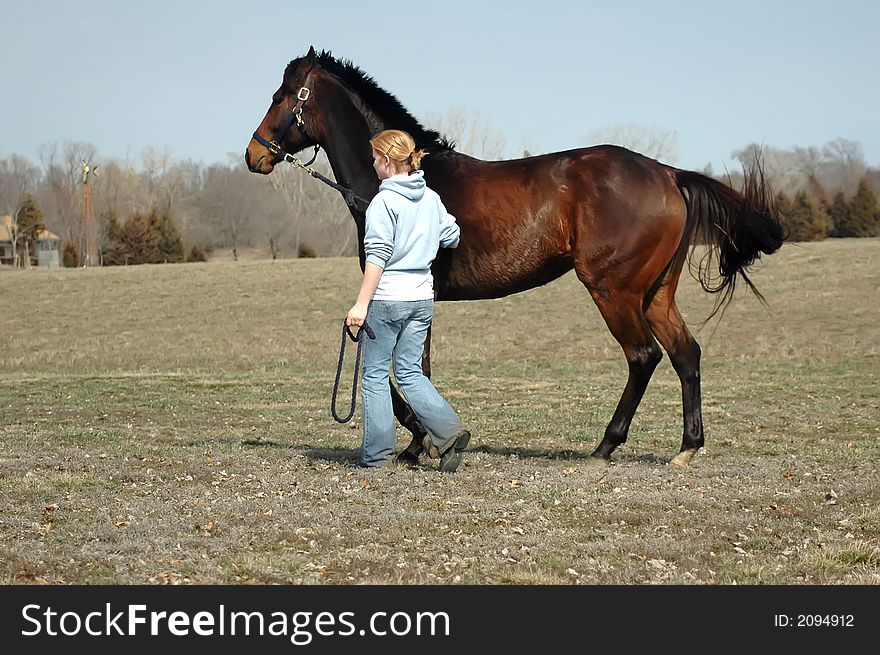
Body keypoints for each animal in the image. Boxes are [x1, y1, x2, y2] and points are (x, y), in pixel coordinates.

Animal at [242, 46, 784, 468]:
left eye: (281, 96)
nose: (254, 154)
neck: (405, 181)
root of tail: (669, 174)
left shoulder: (404, 295)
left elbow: (407, 372)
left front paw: (422, 441)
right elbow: (416, 368)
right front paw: (426, 441)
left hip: (614, 290)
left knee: (643, 356)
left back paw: (605, 446)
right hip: (656, 294)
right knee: (685, 353)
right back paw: (687, 447)